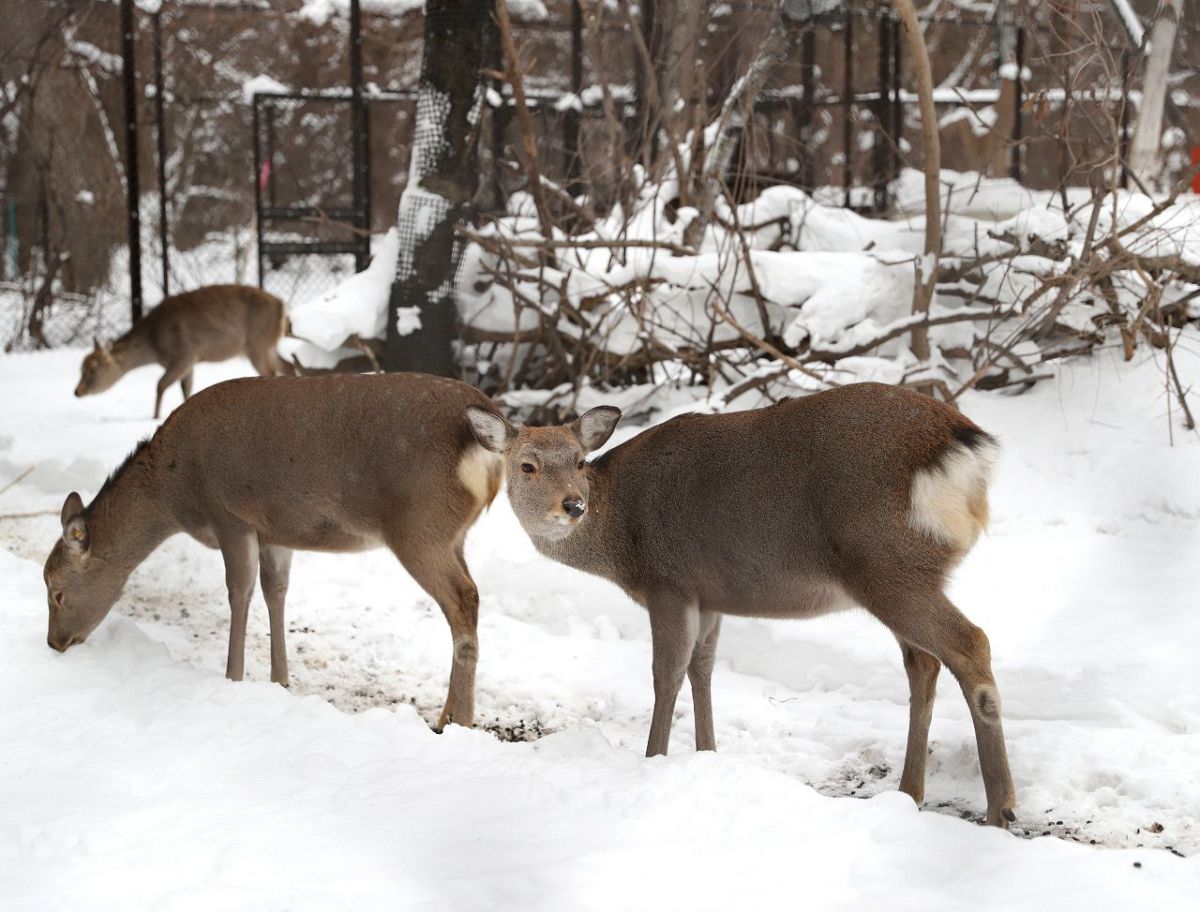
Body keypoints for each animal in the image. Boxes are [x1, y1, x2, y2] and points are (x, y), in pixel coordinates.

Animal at [44, 369, 504, 724]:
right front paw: (280, 680)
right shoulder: (275, 532)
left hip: (419, 527)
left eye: (57, 591)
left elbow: (239, 592)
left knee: (464, 599)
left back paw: (456, 720)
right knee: (472, 597)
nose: (54, 643)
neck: (175, 493)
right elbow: (276, 591)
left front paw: (233, 677)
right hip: (452, 534)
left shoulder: (230, 515)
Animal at [76, 283, 294, 417]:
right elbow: (186, 390)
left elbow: (160, 385)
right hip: (268, 344)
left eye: (92, 369)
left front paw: (155, 417)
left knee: (271, 371)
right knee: (288, 365)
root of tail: (282, 307)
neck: (154, 346)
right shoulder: (190, 362)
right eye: (81, 367)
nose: (77, 391)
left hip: (257, 342)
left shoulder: (184, 354)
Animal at [468, 384, 1022, 825]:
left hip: (886, 563)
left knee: (970, 643)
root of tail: (966, 446)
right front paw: (707, 754)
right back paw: (909, 793)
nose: (573, 505)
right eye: (527, 465)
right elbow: (702, 668)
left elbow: (666, 673)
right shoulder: (708, 594)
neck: (622, 540)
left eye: (580, 462)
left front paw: (654, 760)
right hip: (903, 574)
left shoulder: (669, 582)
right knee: (923, 663)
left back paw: (1001, 809)